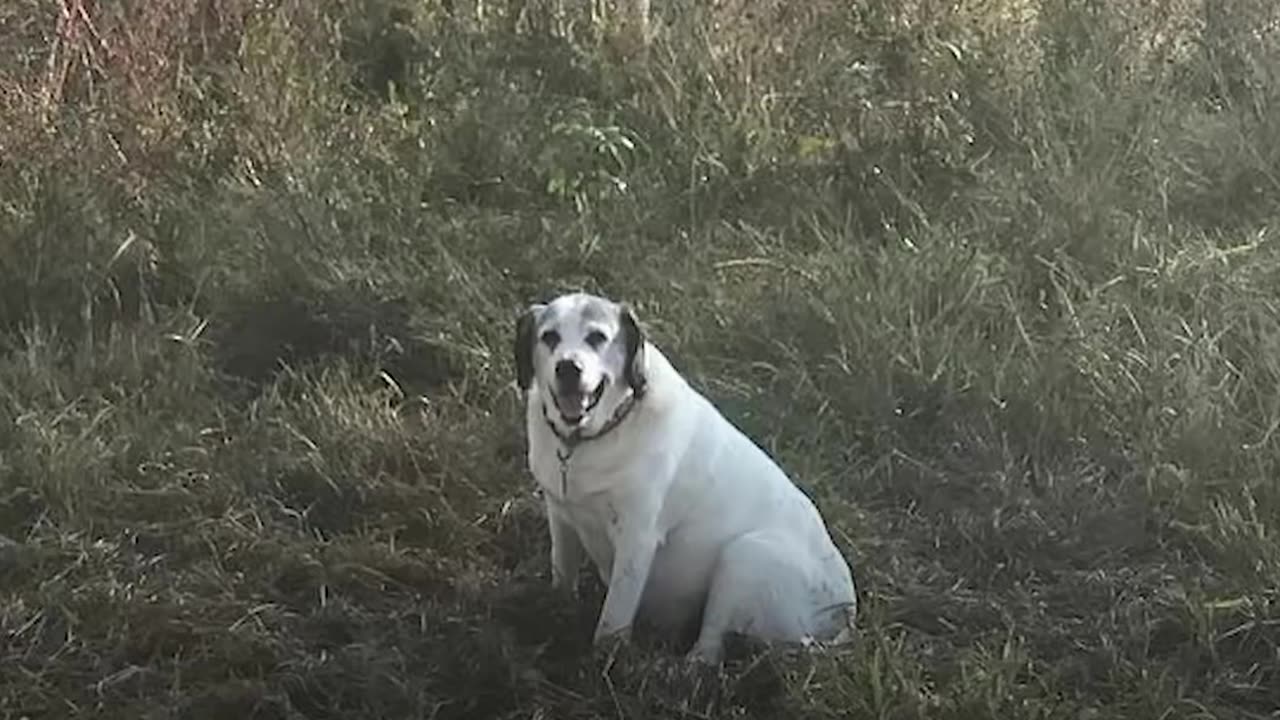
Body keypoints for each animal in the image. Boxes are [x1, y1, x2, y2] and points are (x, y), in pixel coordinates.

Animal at [512, 292, 860, 661]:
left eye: (597, 337)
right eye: (549, 337)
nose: (568, 368)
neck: (591, 438)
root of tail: (845, 615)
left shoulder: (636, 540)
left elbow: (613, 620)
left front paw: (604, 660)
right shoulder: (561, 516)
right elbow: (562, 576)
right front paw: (554, 613)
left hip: (745, 557)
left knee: (708, 650)